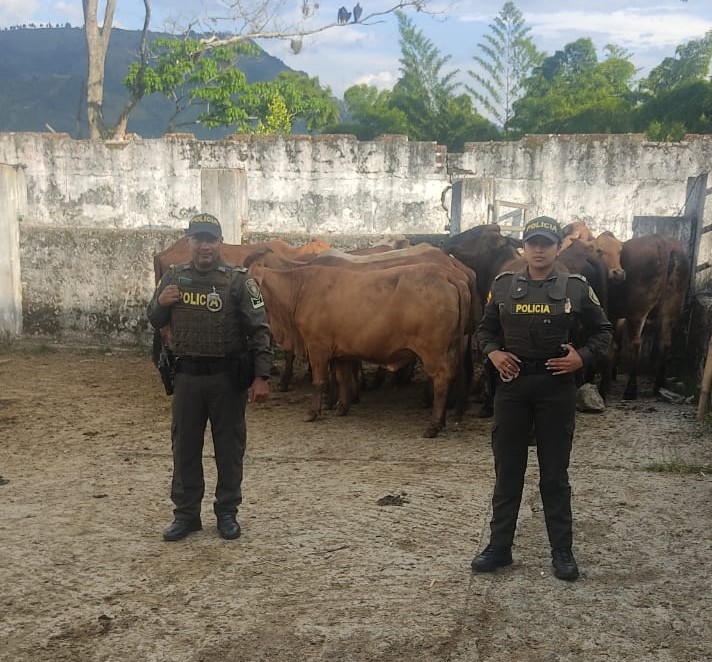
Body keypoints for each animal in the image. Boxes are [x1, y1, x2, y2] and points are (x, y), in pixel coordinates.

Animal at [248, 262, 470, 438]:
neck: (300, 289)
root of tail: (445, 274)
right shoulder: (341, 352)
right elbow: (342, 378)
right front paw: (342, 407)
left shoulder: (317, 347)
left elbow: (319, 382)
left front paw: (313, 412)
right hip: (453, 348)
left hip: (434, 352)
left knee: (441, 382)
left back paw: (434, 426)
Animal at [608, 235, 688, 400]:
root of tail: (664, 243)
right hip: (671, 307)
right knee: (665, 343)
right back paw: (658, 386)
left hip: (639, 310)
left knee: (636, 343)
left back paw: (631, 389)